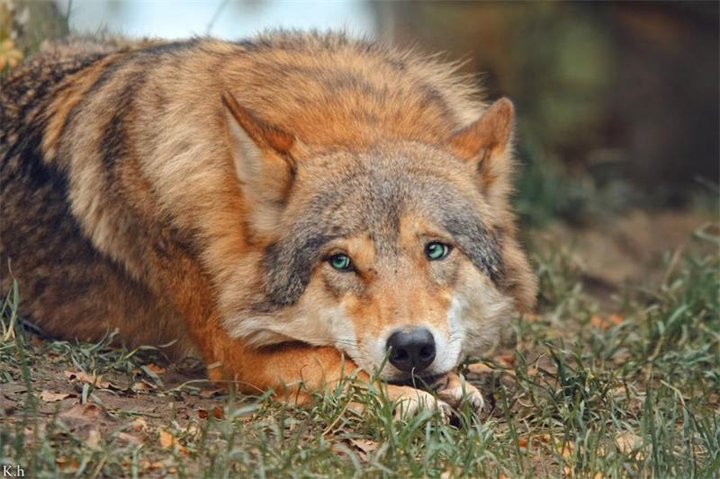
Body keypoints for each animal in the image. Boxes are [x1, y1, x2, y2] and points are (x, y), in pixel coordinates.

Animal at [0, 31, 536, 416]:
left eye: (436, 249)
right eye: (340, 261)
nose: (412, 349)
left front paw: (452, 383)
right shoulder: (234, 352)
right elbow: (327, 360)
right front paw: (408, 399)